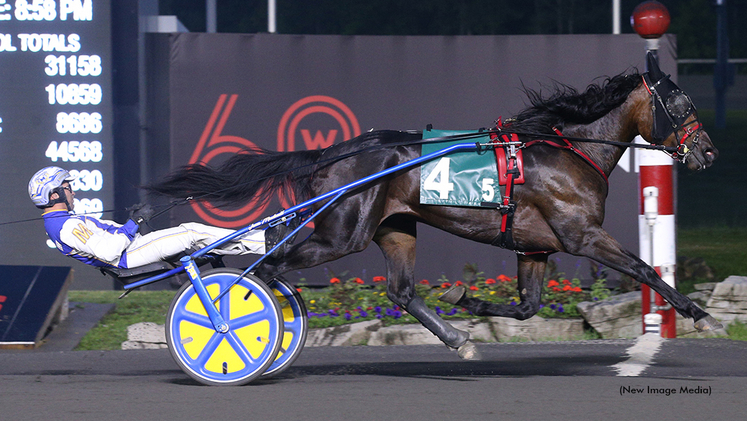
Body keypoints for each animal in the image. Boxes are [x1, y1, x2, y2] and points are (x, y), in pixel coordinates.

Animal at [150, 55, 720, 356]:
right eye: (683, 102)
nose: (708, 152)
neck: (565, 149)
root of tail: (332, 152)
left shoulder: (535, 248)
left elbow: (527, 305)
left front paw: (464, 299)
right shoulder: (583, 237)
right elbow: (644, 268)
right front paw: (701, 315)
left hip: (395, 228)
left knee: (400, 291)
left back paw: (455, 338)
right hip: (341, 233)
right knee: (269, 266)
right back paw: (239, 321)